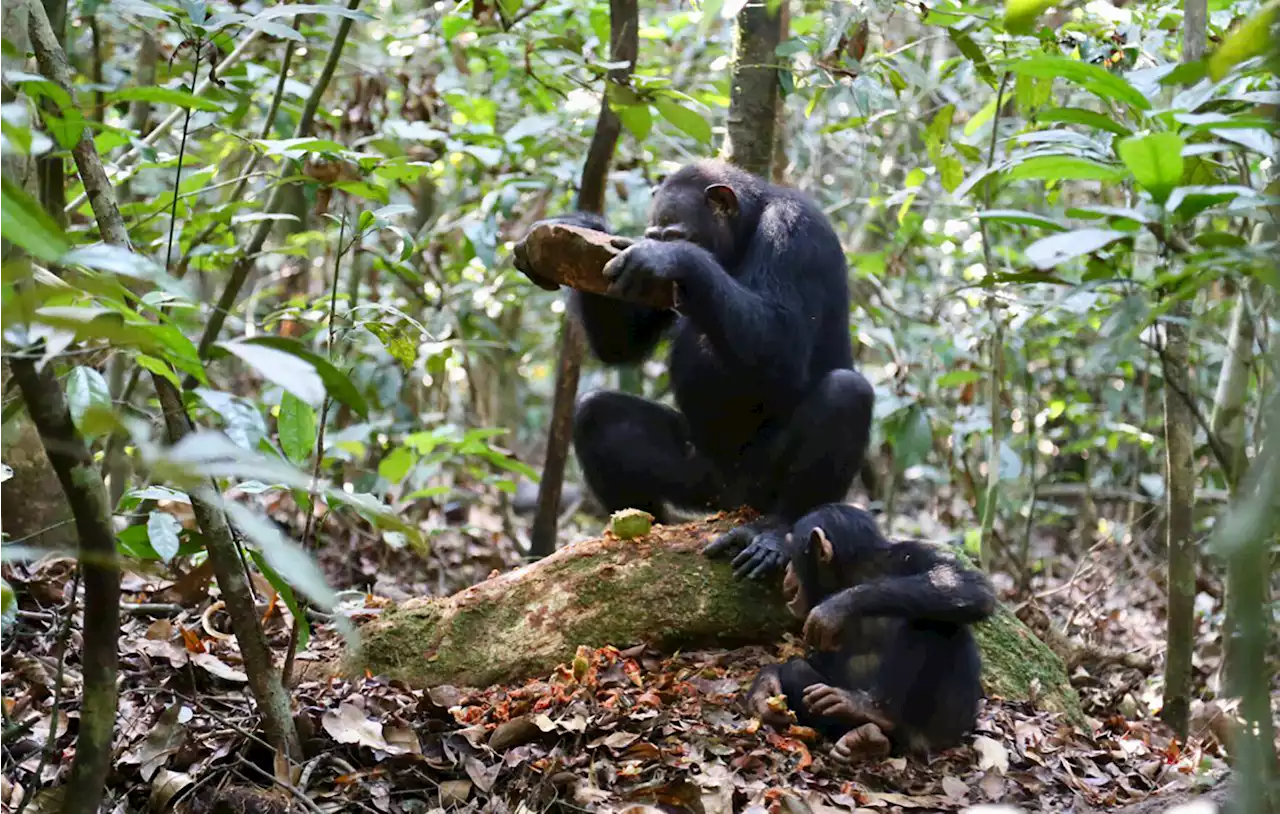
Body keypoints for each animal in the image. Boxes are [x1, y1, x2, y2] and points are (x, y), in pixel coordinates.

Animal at [514, 160, 875, 578]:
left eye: (674, 235)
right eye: (653, 233)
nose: (658, 245)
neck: (745, 230)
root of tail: (734, 501)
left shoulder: (796, 232)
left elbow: (785, 340)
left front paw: (673, 258)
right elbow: (622, 344)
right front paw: (581, 226)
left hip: (762, 484)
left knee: (846, 393)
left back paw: (774, 535)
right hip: (700, 481)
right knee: (596, 413)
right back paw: (645, 530)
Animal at [747, 501, 993, 762]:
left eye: (793, 554)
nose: (787, 572)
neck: (857, 575)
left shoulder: (916, 553)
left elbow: (965, 584)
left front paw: (837, 606)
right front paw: (764, 689)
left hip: (942, 727)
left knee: (931, 619)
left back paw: (874, 710)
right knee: (797, 671)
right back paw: (865, 737)